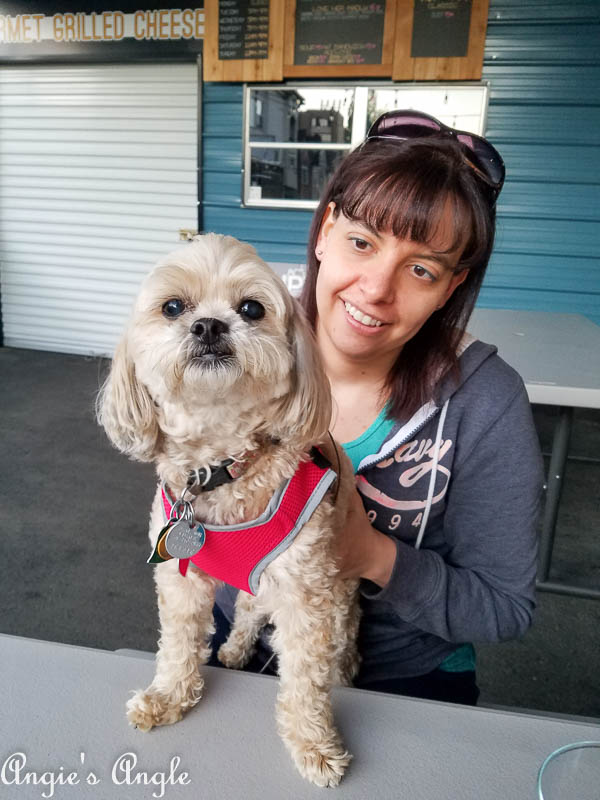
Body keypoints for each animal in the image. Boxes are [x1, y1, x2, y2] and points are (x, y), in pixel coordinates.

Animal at [98, 231, 358, 788]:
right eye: (173, 307)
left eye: (252, 308)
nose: (209, 325)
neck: (220, 466)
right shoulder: (180, 575)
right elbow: (178, 643)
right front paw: (168, 697)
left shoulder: (307, 592)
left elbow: (307, 677)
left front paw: (313, 743)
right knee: (247, 610)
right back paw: (237, 648)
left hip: (339, 593)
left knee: (336, 640)